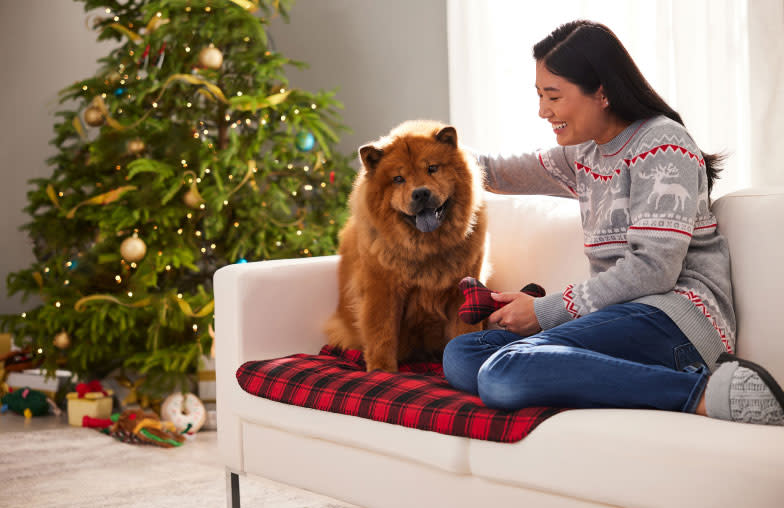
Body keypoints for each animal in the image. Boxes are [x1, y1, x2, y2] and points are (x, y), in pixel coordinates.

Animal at [324, 120, 484, 372]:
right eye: (398, 179)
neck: (428, 248)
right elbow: (382, 333)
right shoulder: (383, 290)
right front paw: (382, 370)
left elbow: (464, 331)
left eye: (432, 168)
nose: (420, 193)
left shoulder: (463, 292)